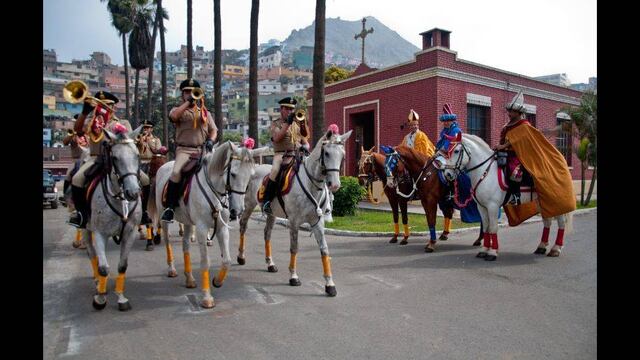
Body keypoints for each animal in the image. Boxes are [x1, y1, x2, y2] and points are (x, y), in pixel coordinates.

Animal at [79, 125, 142, 310]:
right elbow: (103, 267)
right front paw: (100, 299)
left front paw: (121, 298)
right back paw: (98, 283)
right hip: (85, 229)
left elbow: (122, 265)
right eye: (114, 157)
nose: (133, 192)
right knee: (92, 254)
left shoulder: (130, 232)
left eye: (137, 155)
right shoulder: (99, 233)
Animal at [155, 142, 270, 308]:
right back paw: (171, 269)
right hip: (164, 220)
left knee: (185, 246)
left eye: (250, 176)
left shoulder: (222, 228)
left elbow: (227, 260)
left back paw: (189, 278)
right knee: (167, 242)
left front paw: (217, 281)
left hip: (188, 222)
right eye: (233, 174)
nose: (238, 210)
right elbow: (205, 262)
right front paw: (207, 297)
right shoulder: (202, 229)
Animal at [238, 131, 352, 296]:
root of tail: (257, 167)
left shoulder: (318, 222)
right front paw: (293, 276)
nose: (335, 185)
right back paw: (241, 257)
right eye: (327, 153)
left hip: (271, 214)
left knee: (267, 234)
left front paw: (330, 284)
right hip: (249, 205)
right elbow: (294, 247)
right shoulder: (294, 222)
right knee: (243, 226)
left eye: (342, 155)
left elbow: (324, 250)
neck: (311, 185)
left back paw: (270, 263)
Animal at [440, 134, 576, 260]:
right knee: (547, 222)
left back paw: (556, 249)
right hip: (541, 201)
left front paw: (492, 253)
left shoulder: (493, 206)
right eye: (447, 151)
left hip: (554, 201)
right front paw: (484, 250)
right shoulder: (482, 207)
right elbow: (486, 227)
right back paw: (541, 247)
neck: (485, 172)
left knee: (561, 223)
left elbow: (493, 227)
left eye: (456, 151)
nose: (447, 174)